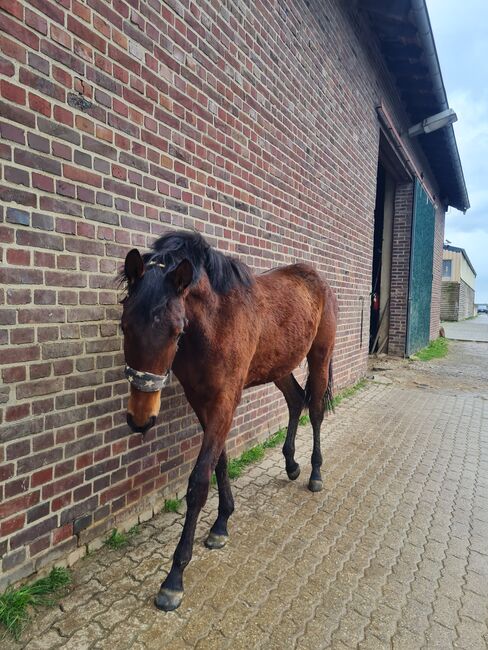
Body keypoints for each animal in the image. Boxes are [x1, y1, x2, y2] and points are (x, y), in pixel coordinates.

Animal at [120, 230, 338, 612]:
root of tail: (317, 278)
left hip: (320, 356)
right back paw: (291, 464)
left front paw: (174, 578)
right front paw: (222, 523)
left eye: (176, 331)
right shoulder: (203, 402)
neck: (216, 323)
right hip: (279, 366)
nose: (141, 418)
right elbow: (220, 462)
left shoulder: (224, 401)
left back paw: (314, 473)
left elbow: (198, 482)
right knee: (295, 400)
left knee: (314, 411)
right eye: (124, 325)